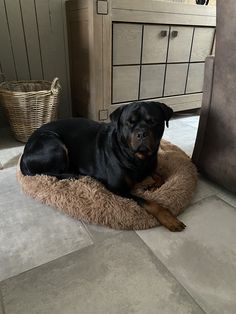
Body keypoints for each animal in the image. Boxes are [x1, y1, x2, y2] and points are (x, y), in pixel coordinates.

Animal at [20, 102, 186, 232]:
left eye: (153, 121)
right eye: (129, 122)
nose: (142, 133)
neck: (138, 159)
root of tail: (24, 153)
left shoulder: (150, 167)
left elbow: (160, 176)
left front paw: (151, 185)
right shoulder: (118, 188)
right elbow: (148, 202)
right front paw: (169, 218)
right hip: (55, 144)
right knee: (50, 173)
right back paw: (75, 174)